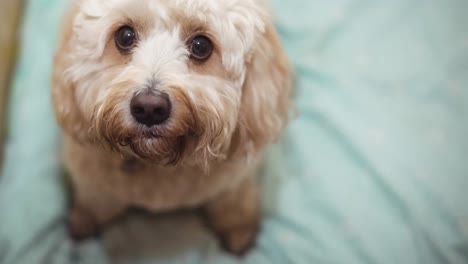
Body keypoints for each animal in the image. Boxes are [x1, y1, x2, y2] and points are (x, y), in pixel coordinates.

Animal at [51, 0, 292, 256]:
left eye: (201, 46)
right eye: (125, 36)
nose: (149, 108)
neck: (159, 164)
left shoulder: (233, 183)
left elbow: (234, 205)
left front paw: (239, 231)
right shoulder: (95, 184)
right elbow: (96, 202)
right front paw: (84, 221)